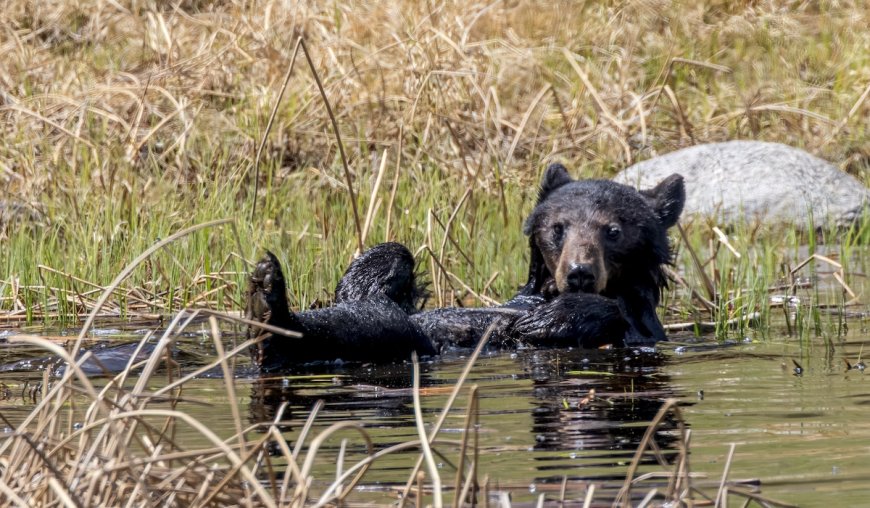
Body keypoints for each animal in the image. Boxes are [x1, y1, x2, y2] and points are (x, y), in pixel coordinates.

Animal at [245, 165, 685, 371]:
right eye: (558, 228)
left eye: (613, 231)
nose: (579, 272)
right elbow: (375, 276)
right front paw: (383, 265)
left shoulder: (639, 326)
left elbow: (615, 318)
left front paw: (544, 321)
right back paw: (266, 300)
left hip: (407, 345)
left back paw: (270, 314)